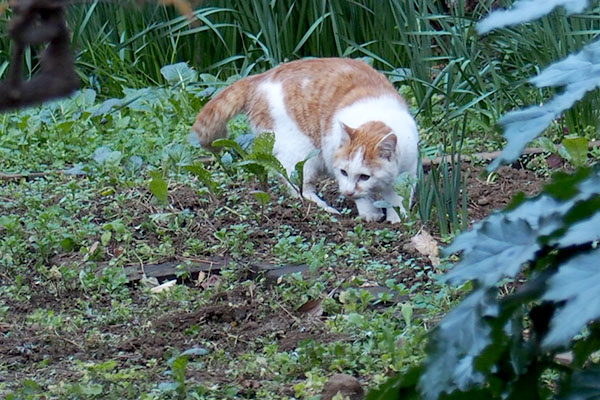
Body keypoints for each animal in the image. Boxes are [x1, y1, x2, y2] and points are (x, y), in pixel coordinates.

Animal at [192, 57, 418, 223]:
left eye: (364, 176)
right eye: (343, 172)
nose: (347, 192)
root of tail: (260, 77)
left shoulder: (408, 171)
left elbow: (398, 197)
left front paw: (398, 217)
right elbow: (365, 198)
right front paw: (370, 213)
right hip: (300, 152)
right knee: (297, 185)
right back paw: (324, 207)